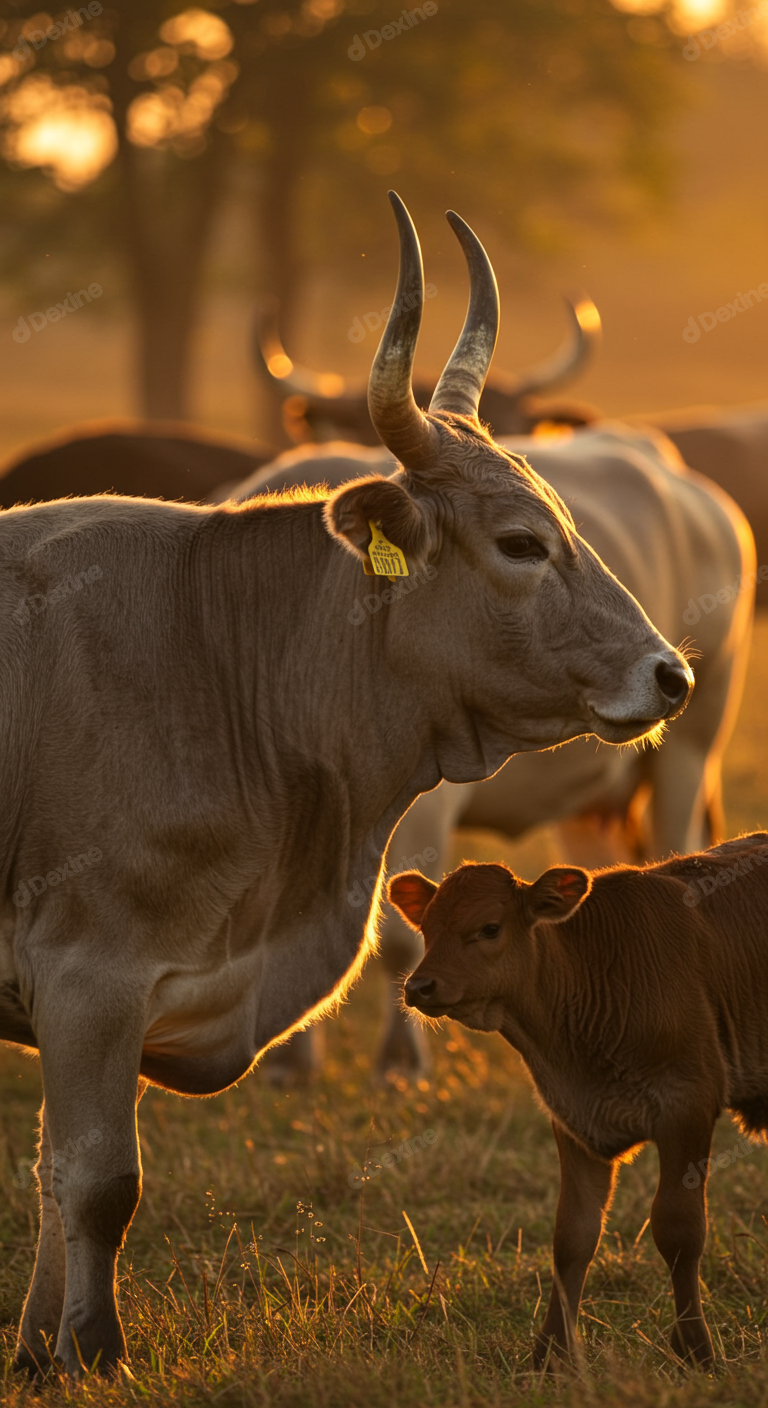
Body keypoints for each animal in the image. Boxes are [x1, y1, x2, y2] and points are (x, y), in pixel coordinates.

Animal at [231, 427, 755, 1082]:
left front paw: (401, 1063)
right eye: (522, 543)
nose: (670, 674)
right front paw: (290, 1065)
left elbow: (402, 938)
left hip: (688, 753)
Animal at [390, 833, 768, 1369]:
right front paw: (549, 1355)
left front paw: (695, 1350)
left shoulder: (688, 1104)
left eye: (489, 928)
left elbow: (679, 1231)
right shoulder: (572, 1118)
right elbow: (573, 1236)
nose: (419, 985)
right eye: (426, 927)